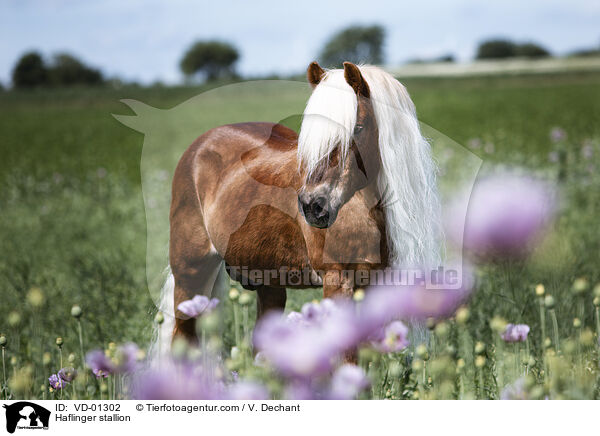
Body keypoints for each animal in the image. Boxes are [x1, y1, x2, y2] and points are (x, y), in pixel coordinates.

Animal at [159, 61, 440, 344]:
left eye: (358, 128)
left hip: (268, 284)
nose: (313, 206)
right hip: (190, 277)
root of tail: (198, 148)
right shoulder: (337, 280)